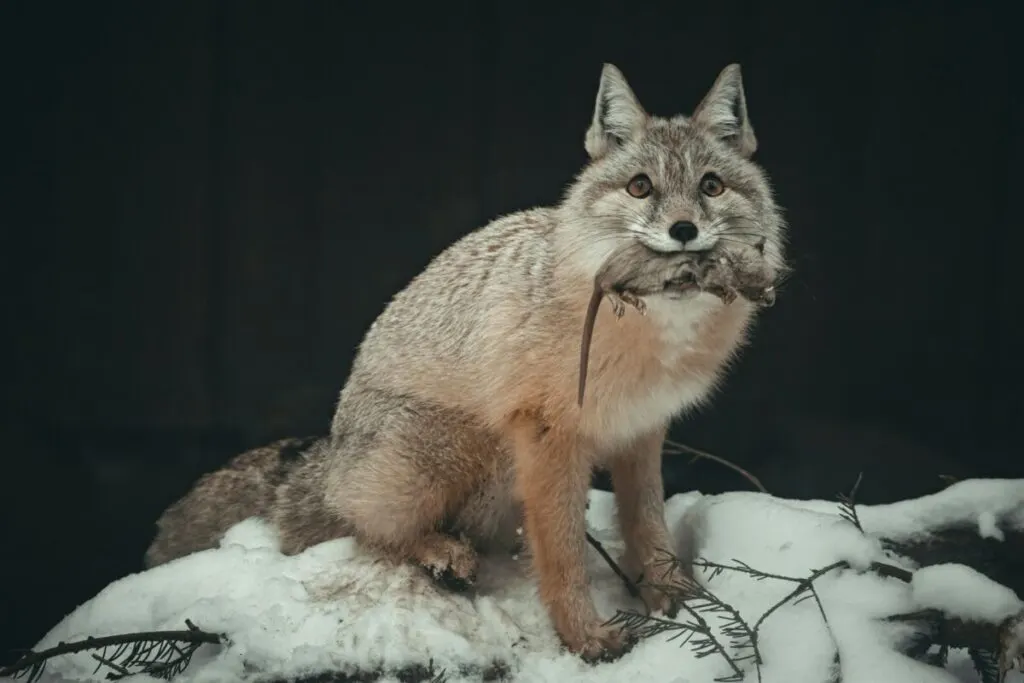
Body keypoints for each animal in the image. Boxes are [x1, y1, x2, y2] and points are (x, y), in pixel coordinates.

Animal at [145, 63, 787, 663]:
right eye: (639, 187)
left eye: (711, 186)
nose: (684, 231)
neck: (651, 338)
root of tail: (331, 451)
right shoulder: (548, 435)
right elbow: (563, 556)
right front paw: (585, 636)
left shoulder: (642, 431)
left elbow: (650, 531)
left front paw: (678, 604)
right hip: (463, 448)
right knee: (356, 527)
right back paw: (438, 552)